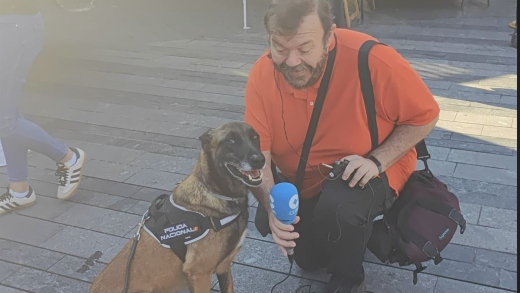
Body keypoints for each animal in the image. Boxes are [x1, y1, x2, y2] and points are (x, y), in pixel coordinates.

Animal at [88, 121, 264, 292]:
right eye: (231, 140)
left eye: (255, 137)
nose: (260, 160)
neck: (215, 193)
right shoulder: (199, 274)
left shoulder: (223, 267)